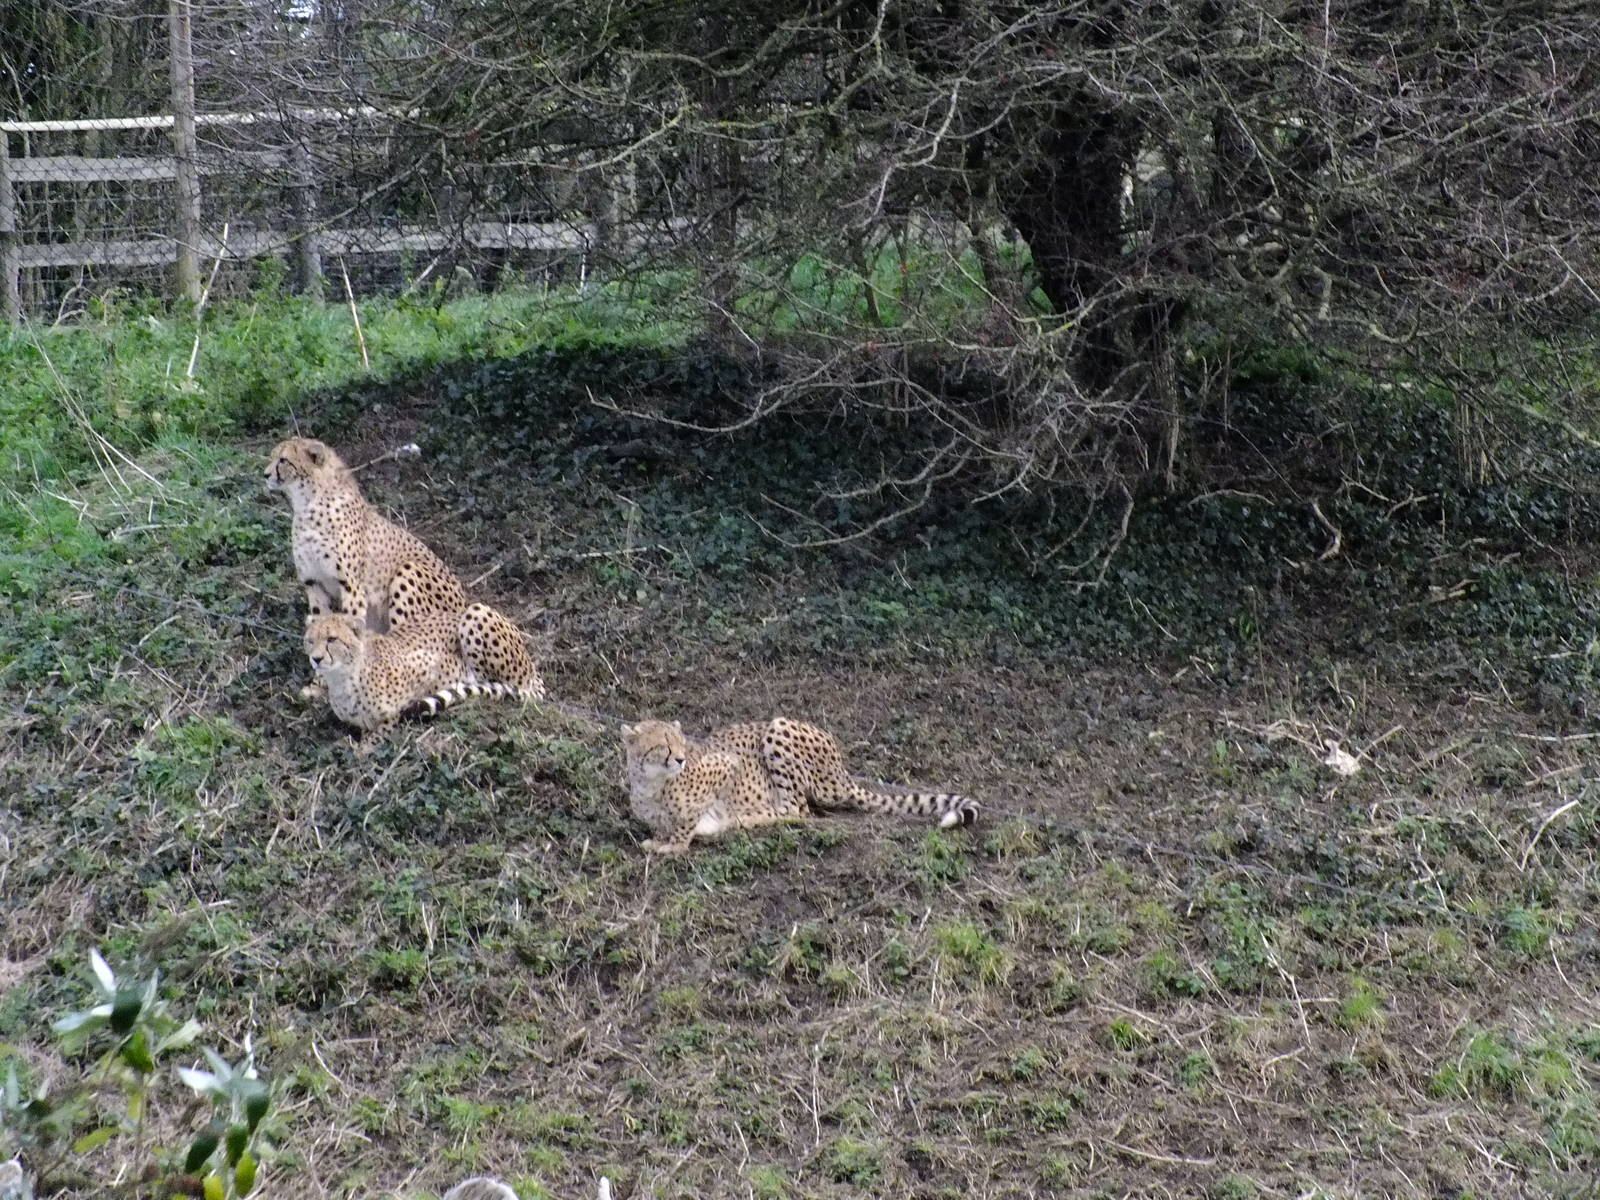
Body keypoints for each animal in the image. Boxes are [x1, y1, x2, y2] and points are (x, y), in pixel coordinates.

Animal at [621, 716, 979, 855]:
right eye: (663, 745)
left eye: (680, 743)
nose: (681, 759)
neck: (651, 782)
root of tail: (842, 772)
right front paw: (663, 838)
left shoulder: (727, 763)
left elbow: (686, 820)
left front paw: (673, 844)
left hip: (779, 728)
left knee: (798, 809)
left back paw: (739, 821)